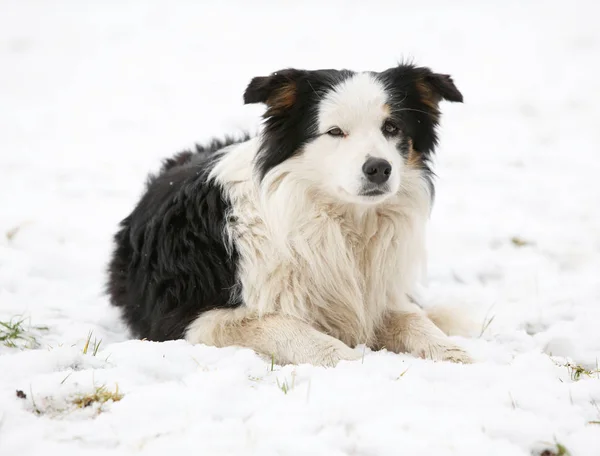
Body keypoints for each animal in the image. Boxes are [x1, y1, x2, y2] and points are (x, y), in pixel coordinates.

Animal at [109, 61, 474, 366]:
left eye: (392, 127)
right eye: (335, 131)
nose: (379, 169)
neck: (339, 222)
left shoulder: (377, 293)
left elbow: (412, 317)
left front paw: (450, 352)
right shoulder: (195, 318)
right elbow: (285, 326)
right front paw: (349, 361)